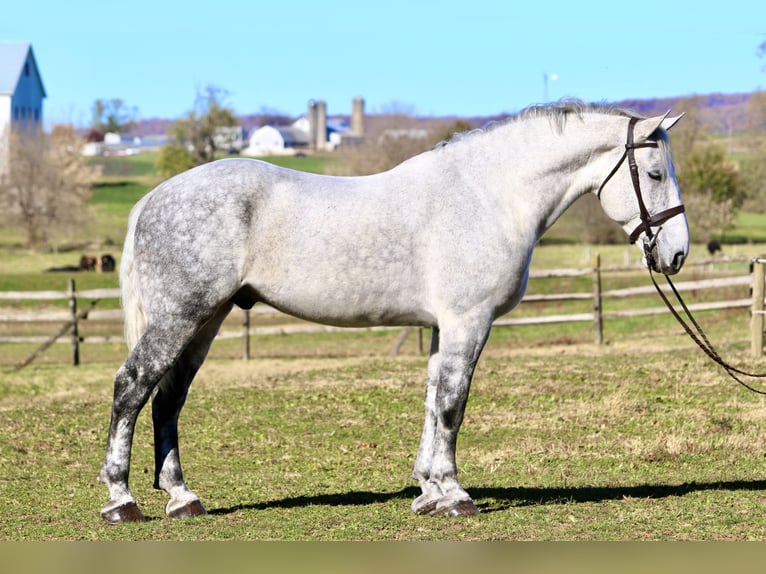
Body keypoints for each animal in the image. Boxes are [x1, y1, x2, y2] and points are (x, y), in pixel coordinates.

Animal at [98, 101, 689, 523]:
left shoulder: (442, 327)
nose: (676, 253)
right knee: (132, 386)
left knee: (167, 399)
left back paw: (182, 498)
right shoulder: (467, 322)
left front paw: (428, 491)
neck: (488, 197)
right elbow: (452, 405)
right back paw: (122, 500)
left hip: (208, 319)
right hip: (181, 317)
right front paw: (454, 495)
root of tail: (153, 199)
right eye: (655, 174)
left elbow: (432, 401)